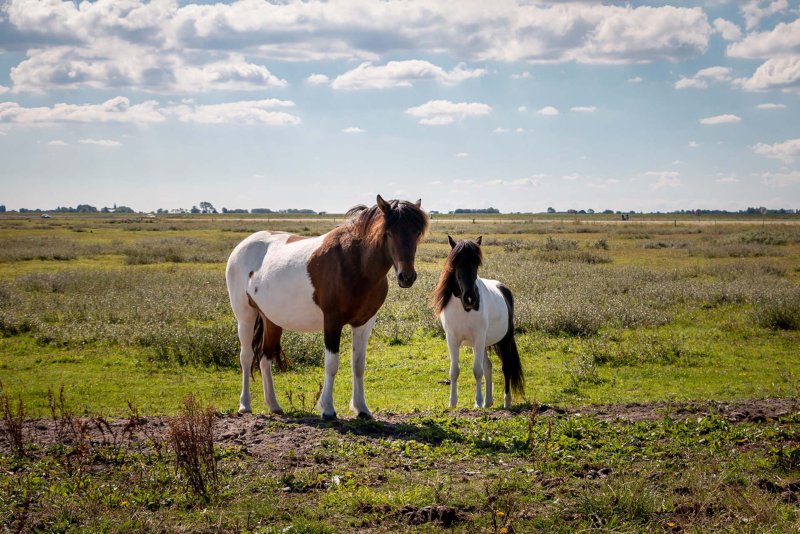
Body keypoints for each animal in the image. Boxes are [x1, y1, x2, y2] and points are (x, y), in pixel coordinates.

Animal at [225, 197, 428, 422]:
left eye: (416, 232)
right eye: (389, 232)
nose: (406, 277)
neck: (354, 263)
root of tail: (242, 246)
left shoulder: (364, 323)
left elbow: (358, 365)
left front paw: (362, 409)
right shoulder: (332, 321)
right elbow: (332, 364)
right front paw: (328, 409)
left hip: (272, 319)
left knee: (264, 358)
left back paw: (274, 405)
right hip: (245, 316)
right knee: (246, 356)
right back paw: (245, 405)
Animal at [432, 238, 524, 410]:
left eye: (476, 264)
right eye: (456, 264)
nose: (470, 299)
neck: (464, 309)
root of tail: (504, 289)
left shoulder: (478, 338)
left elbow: (477, 370)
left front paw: (478, 401)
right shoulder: (452, 339)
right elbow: (454, 371)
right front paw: (452, 402)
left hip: (504, 340)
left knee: (506, 367)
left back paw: (506, 402)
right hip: (483, 344)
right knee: (488, 366)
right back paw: (488, 402)